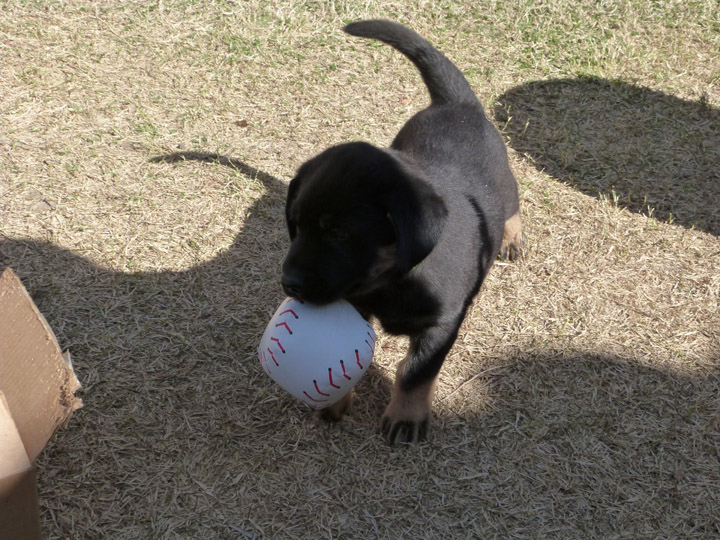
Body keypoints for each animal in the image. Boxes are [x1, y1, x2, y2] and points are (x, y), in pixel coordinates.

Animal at [278, 20, 520, 442]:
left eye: (339, 234)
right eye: (297, 225)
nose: (287, 284)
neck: (392, 279)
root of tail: (457, 104)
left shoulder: (441, 323)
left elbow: (415, 372)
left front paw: (406, 418)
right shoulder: (355, 305)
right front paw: (336, 400)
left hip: (505, 181)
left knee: (514, 204)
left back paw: (511, 236)